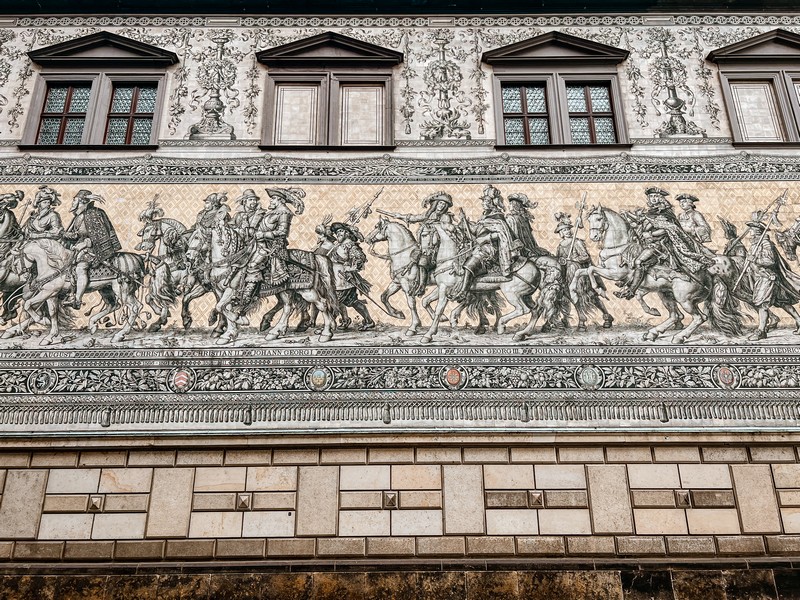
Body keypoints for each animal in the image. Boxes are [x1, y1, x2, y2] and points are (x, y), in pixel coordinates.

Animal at [3, 238, 145, 344]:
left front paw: (42, 320)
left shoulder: (48, 292)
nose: (21, 275)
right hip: (106, 289)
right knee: (114, 305)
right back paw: (92, 324)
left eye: (15, 262)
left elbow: (28, 305)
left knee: (135, 307)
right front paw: (50, 336)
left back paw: (120, 335)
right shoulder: (52, 294)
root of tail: (138, 259)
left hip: (122, 290)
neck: (55, 265)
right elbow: (53, 312)